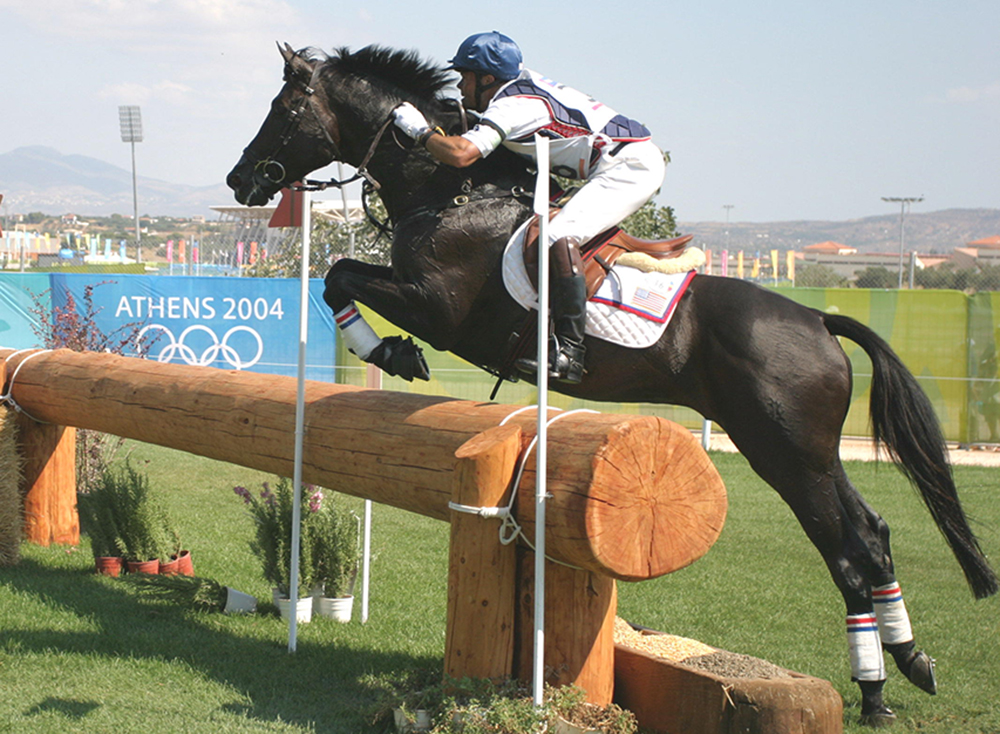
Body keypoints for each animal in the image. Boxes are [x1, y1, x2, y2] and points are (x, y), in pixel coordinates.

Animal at [227, 43, 997, 725]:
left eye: (285, 109)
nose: (240, 181)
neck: (452, 190)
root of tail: (816, 319)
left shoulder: (435, 305)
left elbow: (340, 276)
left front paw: (391, 350)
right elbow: (340, 276)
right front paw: (388, 349)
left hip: (785, 454)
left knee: (845, 554)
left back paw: (873, 691)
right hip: (811, 451)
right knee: (871, 534)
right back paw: (910, 663)